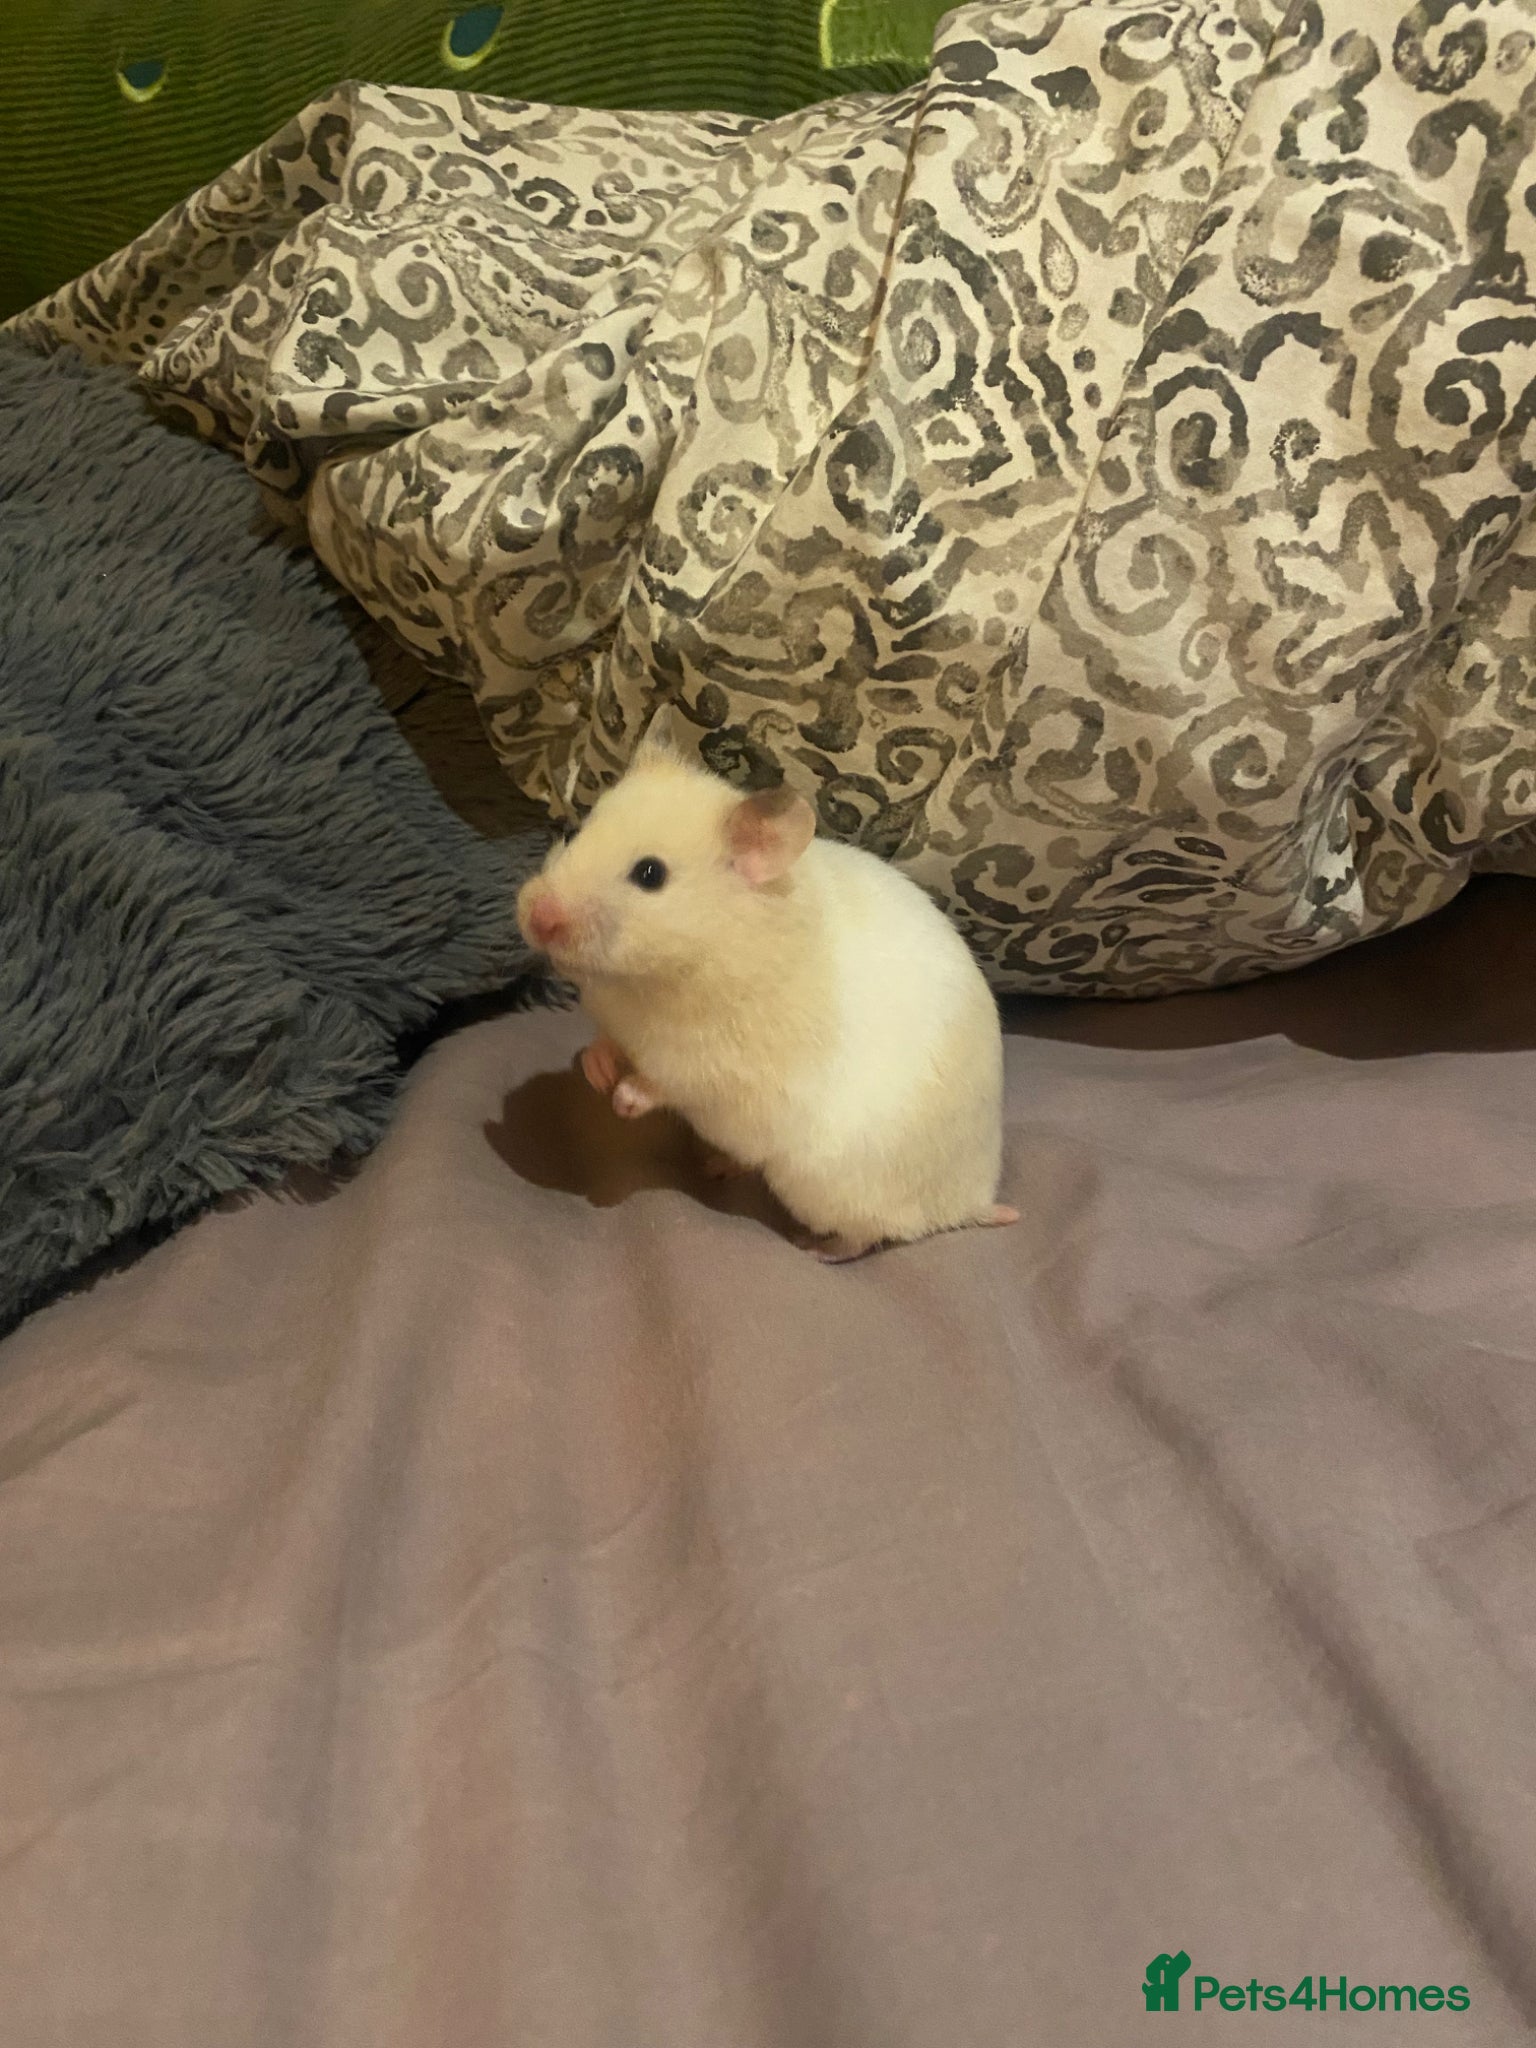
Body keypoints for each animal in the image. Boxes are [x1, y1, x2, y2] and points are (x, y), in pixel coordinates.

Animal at [515, 730, 1018, 1262]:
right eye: (574, 835)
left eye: (650, 874)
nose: (538, 917)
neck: (651, 981)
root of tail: (973, 1198)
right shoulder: (618, 1022)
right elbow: (606, 1043)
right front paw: (596, 1070)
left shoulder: (715, 1068)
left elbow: (666, 1083)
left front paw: (624, 1099)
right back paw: (720, 1167)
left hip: (830, 1187)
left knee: (873, 1233)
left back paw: (814, 1248)